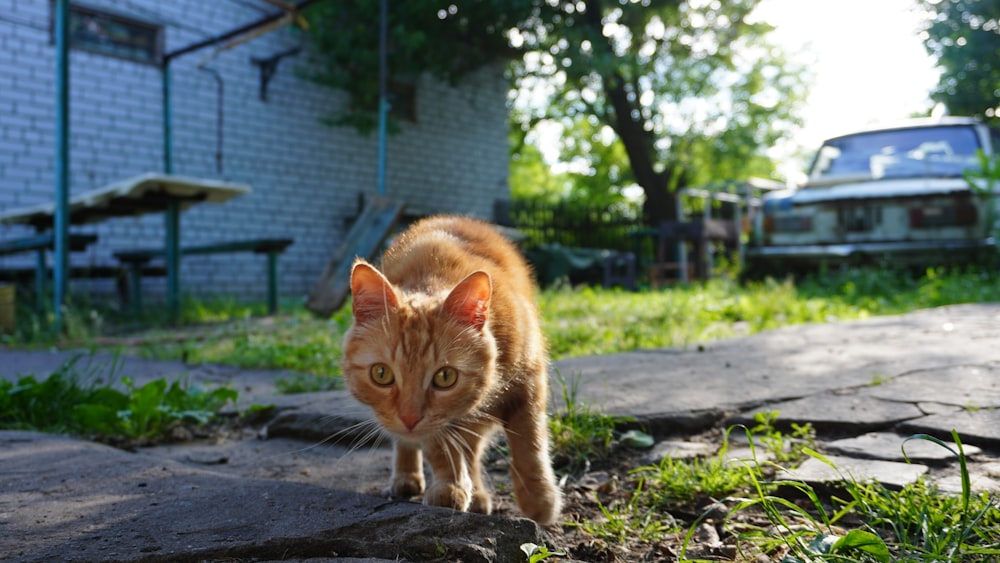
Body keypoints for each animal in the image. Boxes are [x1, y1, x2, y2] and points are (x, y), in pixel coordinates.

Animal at [344, 215, 564, 524]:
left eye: (445, 377)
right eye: (381, 374)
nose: (409, 418)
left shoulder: (529, 383)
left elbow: (530, 444)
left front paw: (540, 500)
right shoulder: (435, 426)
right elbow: (440, 446)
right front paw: (451, 487)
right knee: (412, 443)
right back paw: (407, 477)